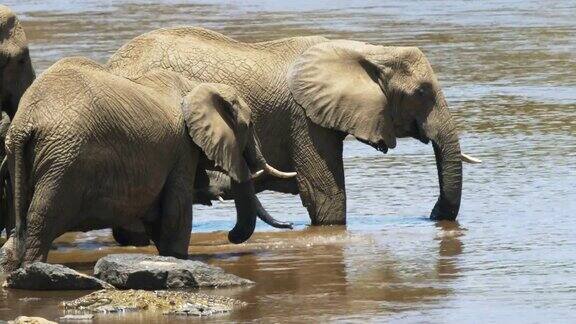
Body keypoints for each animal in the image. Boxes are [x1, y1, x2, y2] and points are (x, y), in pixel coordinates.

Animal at [0, 57, 294, 272]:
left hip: (21, 157)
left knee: (21, 221)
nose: (231, 237)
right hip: (64, 161)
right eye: (249, 125)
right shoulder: (181, 147)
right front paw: (177, 257)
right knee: (42, 216)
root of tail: (26, 122)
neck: (197, 85)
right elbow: (176, 211)